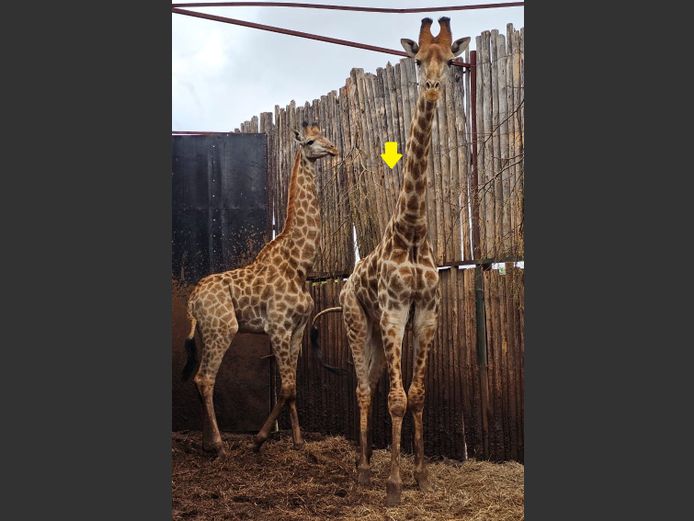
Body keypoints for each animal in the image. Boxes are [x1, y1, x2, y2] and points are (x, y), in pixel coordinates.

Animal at [182, 121, 338, 456]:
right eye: (309, 142)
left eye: (323, 135)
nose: (333, 149)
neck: (299, 264)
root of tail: (191, 301)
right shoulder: (277, 327)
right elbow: (288, 386)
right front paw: (259, 439)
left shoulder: (297, 329)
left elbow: (291, 387)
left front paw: (298, 441)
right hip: (223, 328)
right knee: (204, 378)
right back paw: (219, 446)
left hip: (206, 331)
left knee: (201, 379)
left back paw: (206, 443)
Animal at [311, 18, 470, 506]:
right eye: (417, 60)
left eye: (451, 60)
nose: (433, 88)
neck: (412, 232)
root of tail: (343, 286)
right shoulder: (394, 313)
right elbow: (396, 399)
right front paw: (395, 486)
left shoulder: (427, 314)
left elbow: (416, 395)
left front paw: (421, 476)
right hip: (358, 322)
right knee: (364, 390)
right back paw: (363, 473)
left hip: (378, 337)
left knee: (375, 382)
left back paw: (367, 464)